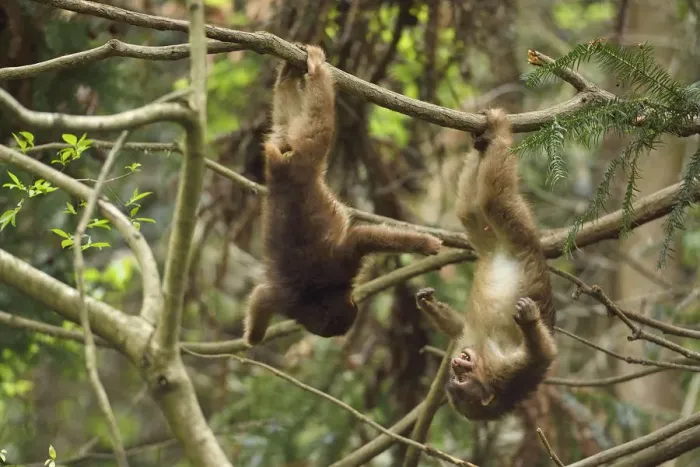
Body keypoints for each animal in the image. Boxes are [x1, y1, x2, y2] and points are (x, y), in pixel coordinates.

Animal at [243, 44, 443, 345]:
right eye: (350, 306)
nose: (355, 301)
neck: (316, 295)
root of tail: (283, 173)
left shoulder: (284, 299)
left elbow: (261, 296)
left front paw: (252, 337)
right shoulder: (340, 265)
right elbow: (363, 237)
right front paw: (425, 244)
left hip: (291, 150)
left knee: (289, 124)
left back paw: (291, 76)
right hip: (305, 156)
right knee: (319, 122)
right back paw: (315, 72)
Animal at [415, 109, 556, 421]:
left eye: (462, 380)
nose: (456, 363)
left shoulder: (508, 373)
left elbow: (544, 355)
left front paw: (530, 322)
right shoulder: (469, 342)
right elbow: (458, 328)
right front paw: (430, 306)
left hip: (516, 231)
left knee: (494, 198)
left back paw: (498, 132)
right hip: (495, 235)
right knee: (471, 209)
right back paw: (483, 139)